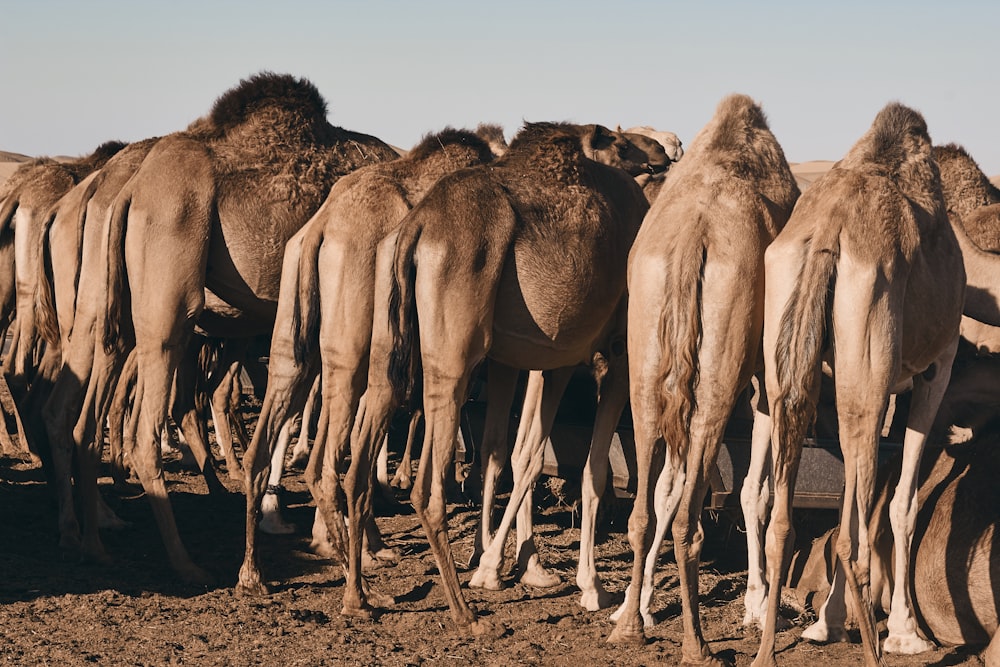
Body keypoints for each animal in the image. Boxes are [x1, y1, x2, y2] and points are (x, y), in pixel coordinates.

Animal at [234, 126, 504, 596]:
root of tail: (321, 229)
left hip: (297, 330)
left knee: (269, 436)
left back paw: (255, 574)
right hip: (356, 343)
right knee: (328, 461)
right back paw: (358, 582)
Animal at [604, 92, 800, 664]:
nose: (667, 149)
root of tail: (695, 235)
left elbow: (667, 487)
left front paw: (640, 605)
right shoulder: (761, 380)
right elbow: (755, 492)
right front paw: (756, 605)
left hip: (646, 352)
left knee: (645, 503)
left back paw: (629, 628)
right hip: (719, 368)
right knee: (689, 516)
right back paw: (698, 645)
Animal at [752, 104, 964, 667]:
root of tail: (831, 229)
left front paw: (827, 622)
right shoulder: (936, 367)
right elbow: (902, 502)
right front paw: (909, 634)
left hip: (792, 358)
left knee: (783, 520)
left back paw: (764, 651)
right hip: (873, 333)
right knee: (857, 543)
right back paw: (874, 650)